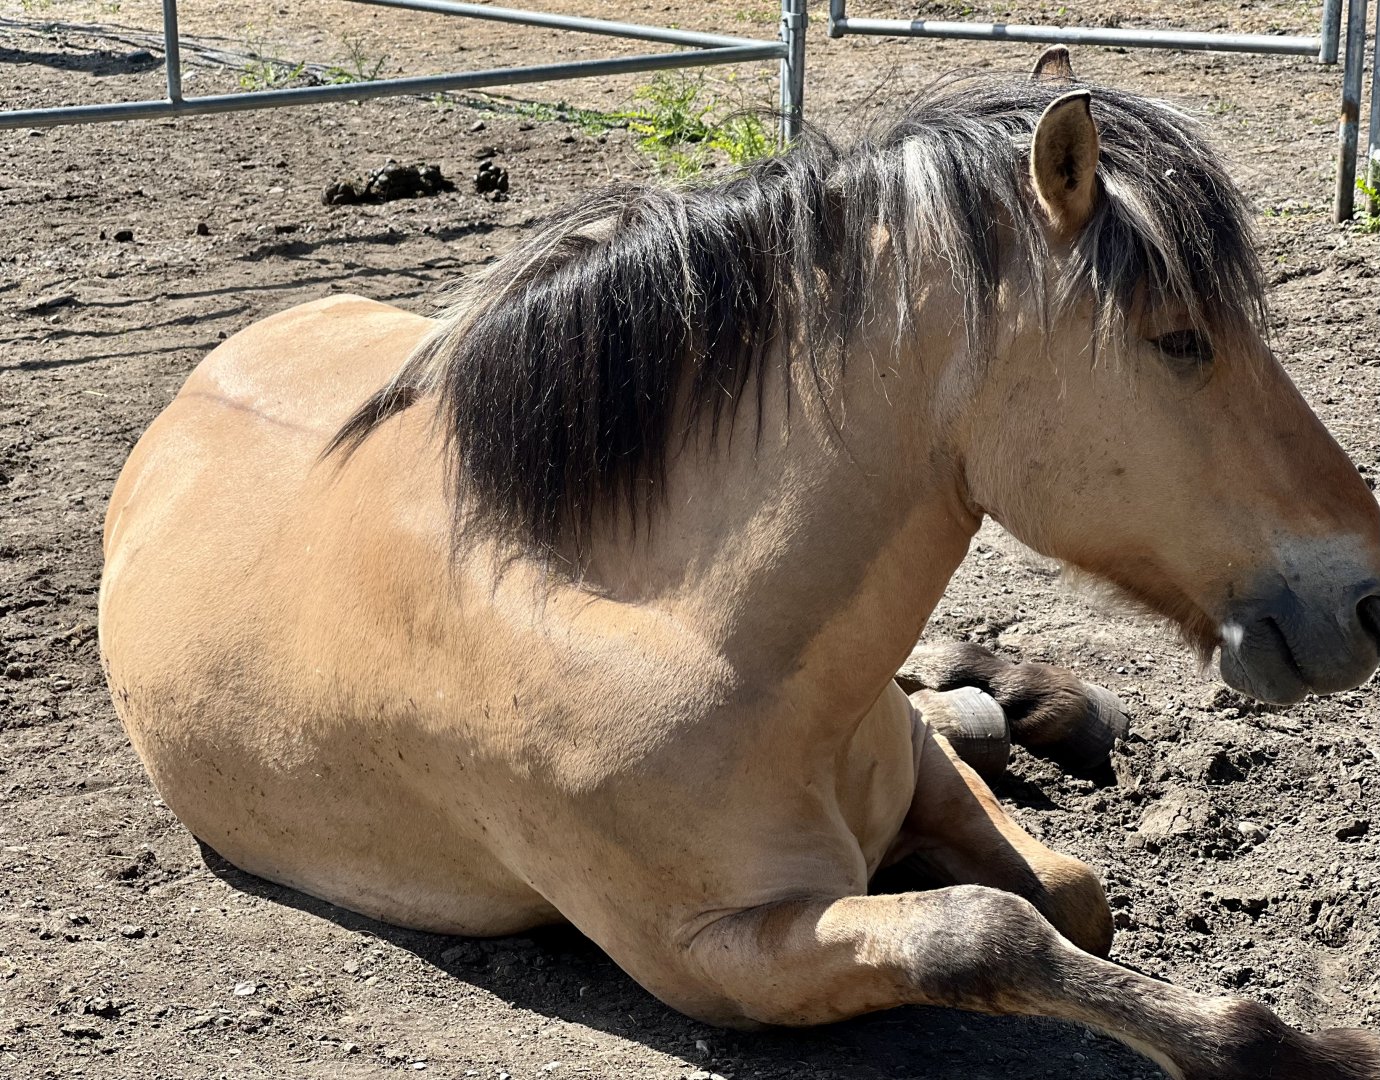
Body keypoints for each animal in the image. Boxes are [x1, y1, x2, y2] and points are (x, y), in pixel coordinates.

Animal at [99, 50, 1380, 1080]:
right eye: (1179, 340)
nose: (1368, 597)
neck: (693, 638)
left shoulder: (909, 770)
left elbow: (1072, 893)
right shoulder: (716, 955)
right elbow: (989, 931)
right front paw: (1317, 1052)